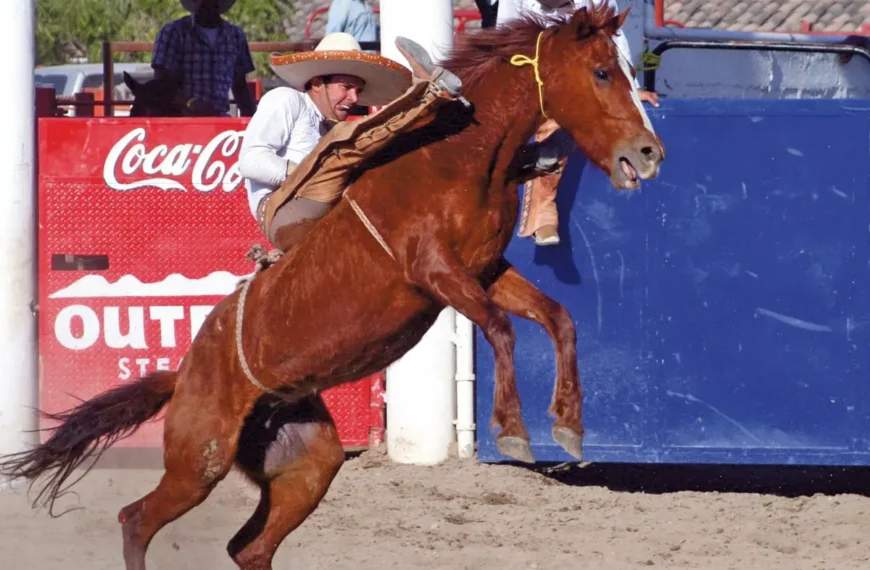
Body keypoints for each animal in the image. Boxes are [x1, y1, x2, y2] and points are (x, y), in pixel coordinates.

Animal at [0, 6, 664, 570]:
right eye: (602, 71)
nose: (649, 152)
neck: (458, 159)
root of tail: (184, 372)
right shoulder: (437, 273)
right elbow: (502, 330)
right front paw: (513, 433)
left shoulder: (484, 273)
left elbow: (557, 319)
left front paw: (568, 426)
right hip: (198, 459)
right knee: (137, 519)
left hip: (307, 465)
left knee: (248, 547)